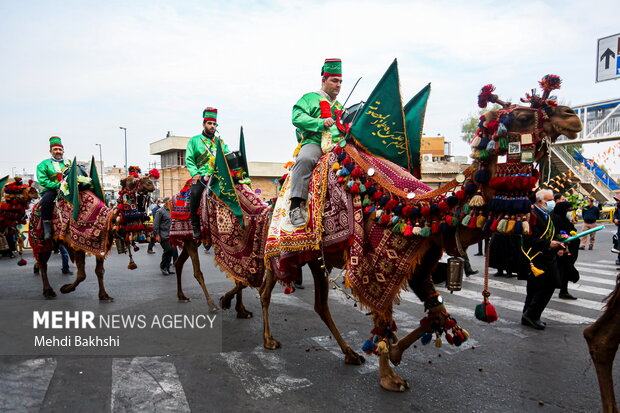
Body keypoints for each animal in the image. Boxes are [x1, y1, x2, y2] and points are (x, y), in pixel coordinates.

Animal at [30, 161, 159, 300]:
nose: (150, 183)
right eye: (132, 181)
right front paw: (65, 289)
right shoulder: (78, 245)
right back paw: (48, 291)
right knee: (43, 263)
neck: (105, 219)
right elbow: (82, 275)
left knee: (43, 262)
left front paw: (104, 295)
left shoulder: (100, 244)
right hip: (41, 240)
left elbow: (99, 271)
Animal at [168, 70, 580, 390]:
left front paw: (394, 352)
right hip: (275, 248)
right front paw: (389, 375)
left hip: (315, 258)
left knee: (314, 302)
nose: (572, 116)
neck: (419, 208)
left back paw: (348, 352)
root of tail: (270, 205)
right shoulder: (373, 260)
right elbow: (382, 315)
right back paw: (259, 333)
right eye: (522, 114)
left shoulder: (420, 265)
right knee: (259, 286)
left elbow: (435, 314)